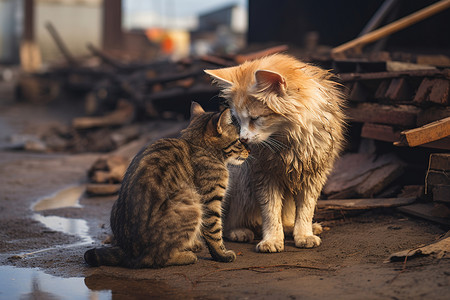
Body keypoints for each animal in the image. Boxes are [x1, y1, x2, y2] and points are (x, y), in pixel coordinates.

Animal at [84, 102, 250, 268]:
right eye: (239, 141)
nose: (249, 150)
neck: (197, 145)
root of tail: (128, 252)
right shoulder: (210, 200)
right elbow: (214, 231)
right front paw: (222, 254)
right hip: (191, 203)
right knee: (156, 258)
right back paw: (186, 256)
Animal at [206, 53, 346, 253]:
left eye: (255, 118)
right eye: (237, 120)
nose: (243, 139)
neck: (289, 140)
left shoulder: (314, 174)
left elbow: (305, 209)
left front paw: (303, 234)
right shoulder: (264, 175)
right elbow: (271, 212)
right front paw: (272, 239)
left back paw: (293, 227)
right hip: (240, 177)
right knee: (227, 221)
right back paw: (239, 231)